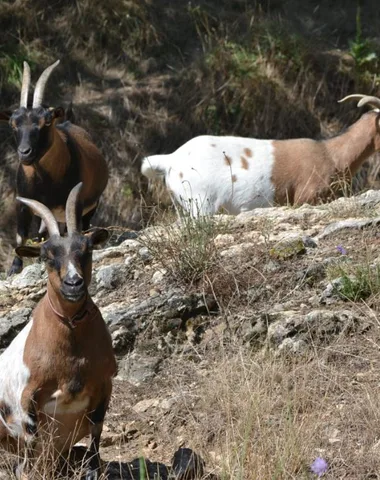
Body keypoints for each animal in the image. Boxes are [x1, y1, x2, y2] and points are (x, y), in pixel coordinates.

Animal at [0, 184, 116, 480]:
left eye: (87, 249)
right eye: (46, 256)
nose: (73, 283)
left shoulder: (104, 385)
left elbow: (97, 431)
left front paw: (93, 471)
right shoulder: (27, 399)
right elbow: (31, 442)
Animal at [1, 60, 108, 276]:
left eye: (47, 121)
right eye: (13, 124)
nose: (24, 152)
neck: (46, 181)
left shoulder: (76, 202)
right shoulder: (23, 202)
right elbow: (21, 235)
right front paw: (15, 267)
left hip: (91, 205)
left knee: (84, 226)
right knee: (43, 233)